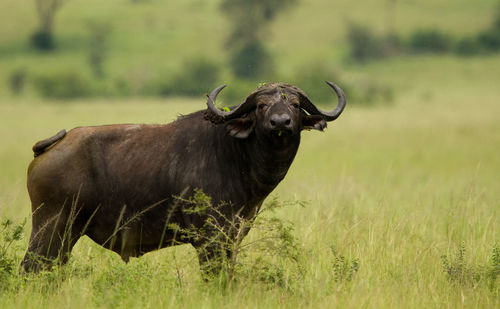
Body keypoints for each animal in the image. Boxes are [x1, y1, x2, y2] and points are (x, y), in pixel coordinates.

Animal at [21, 81, 346, 272]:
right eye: (262, 105)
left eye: (294, 104)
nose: (281, 123)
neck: (237, 156)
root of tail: (49, 147)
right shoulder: (211, 240)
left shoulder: (234, 236)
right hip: (52, 227)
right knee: (33, 266)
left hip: (67, 233)